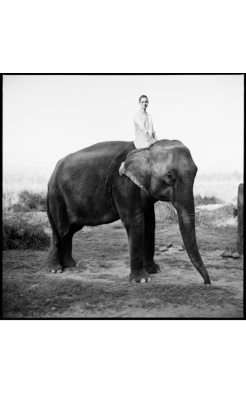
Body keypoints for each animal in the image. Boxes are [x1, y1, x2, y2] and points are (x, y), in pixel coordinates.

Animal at [46, 139, 211, 284]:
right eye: (170, 176)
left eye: (196, 172)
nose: (207, 283)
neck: (147, 148)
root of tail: (52, 173)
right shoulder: (122, 184)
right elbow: (135, 222)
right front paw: (142, 280)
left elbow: (150, 223)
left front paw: (154, 270)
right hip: (56, 195)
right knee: (59, 230)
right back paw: (55, 269)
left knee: (70, 230)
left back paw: (70, 265)